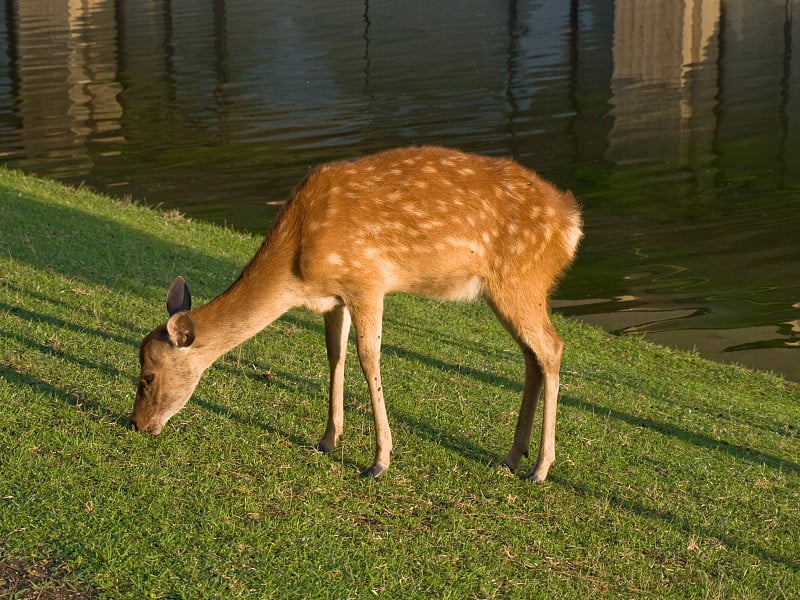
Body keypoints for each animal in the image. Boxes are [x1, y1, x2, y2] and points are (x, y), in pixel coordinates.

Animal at [131, 146, 580, 482]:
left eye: (147, 376)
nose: (136, 424)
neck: (297, 266)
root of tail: (572, 223)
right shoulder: (334, 298)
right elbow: (335, 355)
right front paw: (327, 439)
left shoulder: (367, 280)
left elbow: (368, 358)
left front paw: (379, 461)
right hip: (510, 290)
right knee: (532, 356)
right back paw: (511, 457)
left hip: (520, 280)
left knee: (552, 348)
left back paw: (540, 468)